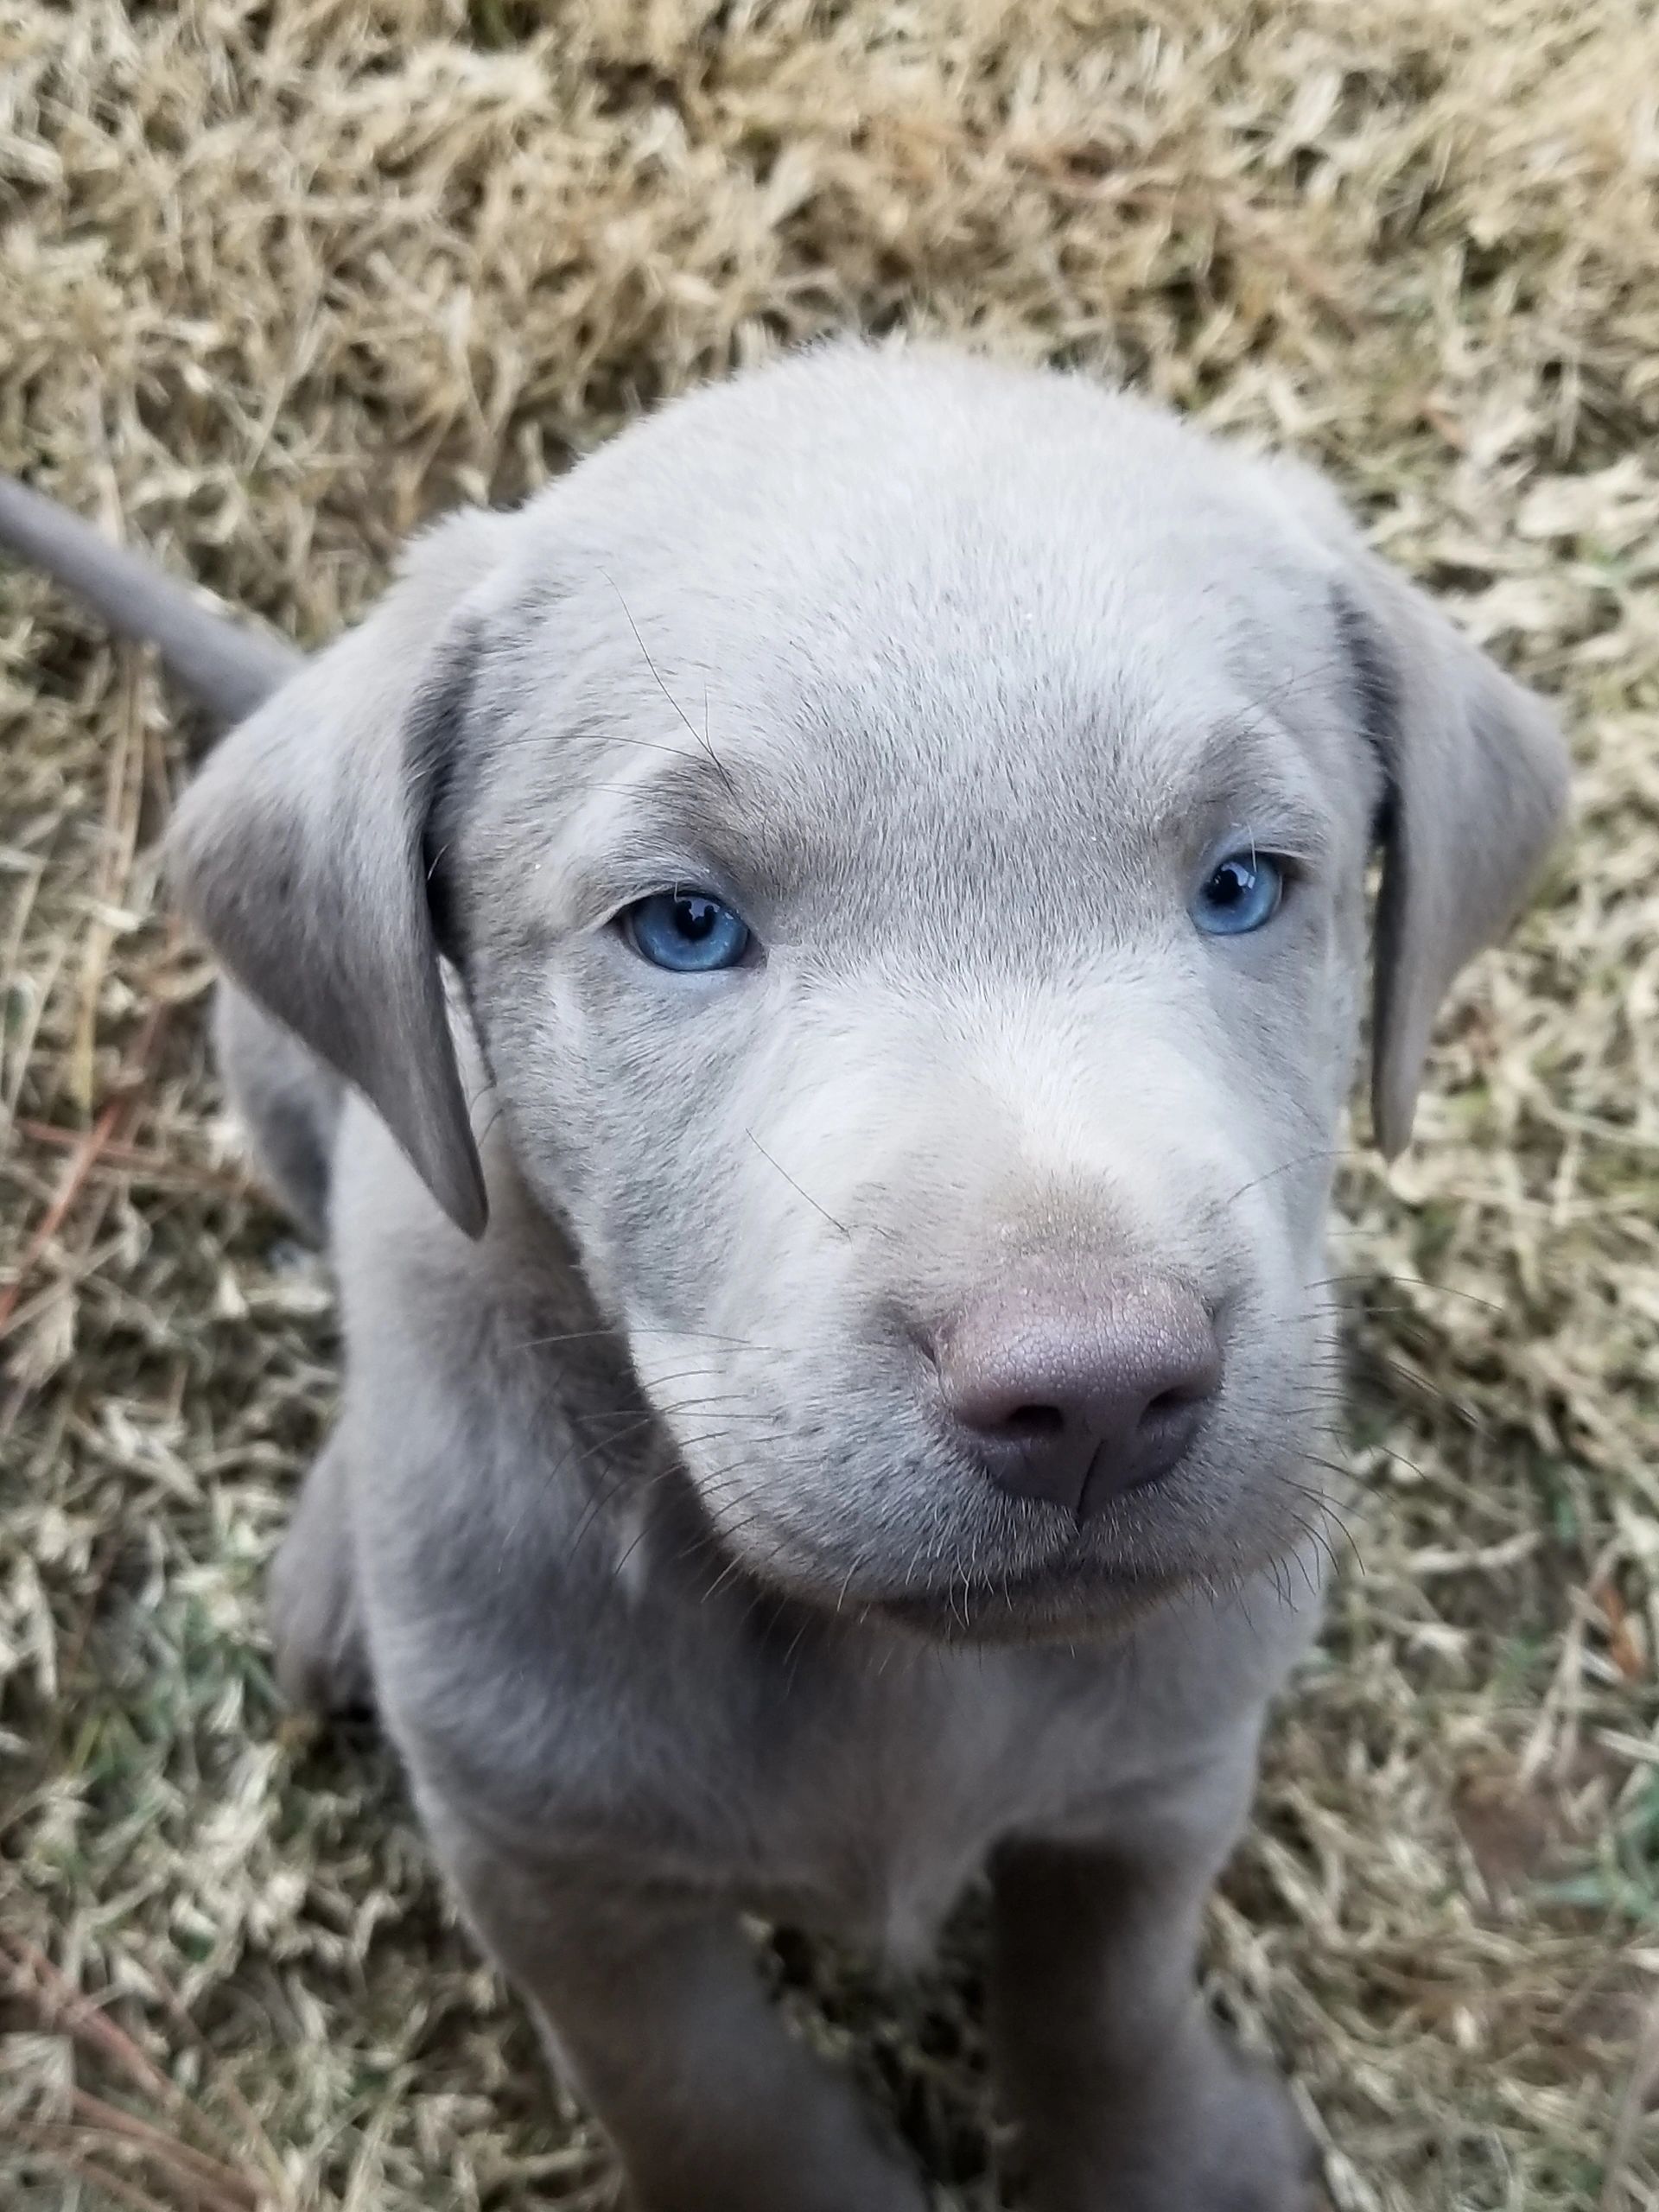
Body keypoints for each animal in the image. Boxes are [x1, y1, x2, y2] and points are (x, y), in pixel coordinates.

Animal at [0, 345, 1574, 2212]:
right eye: (684, 924)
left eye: (1247, 883)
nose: (1096, 1389)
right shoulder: (552, 1872)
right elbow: (702, 2086)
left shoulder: (1163, 1767)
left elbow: (1108, 1988)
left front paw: (1168, 2158)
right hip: (279, 1074)